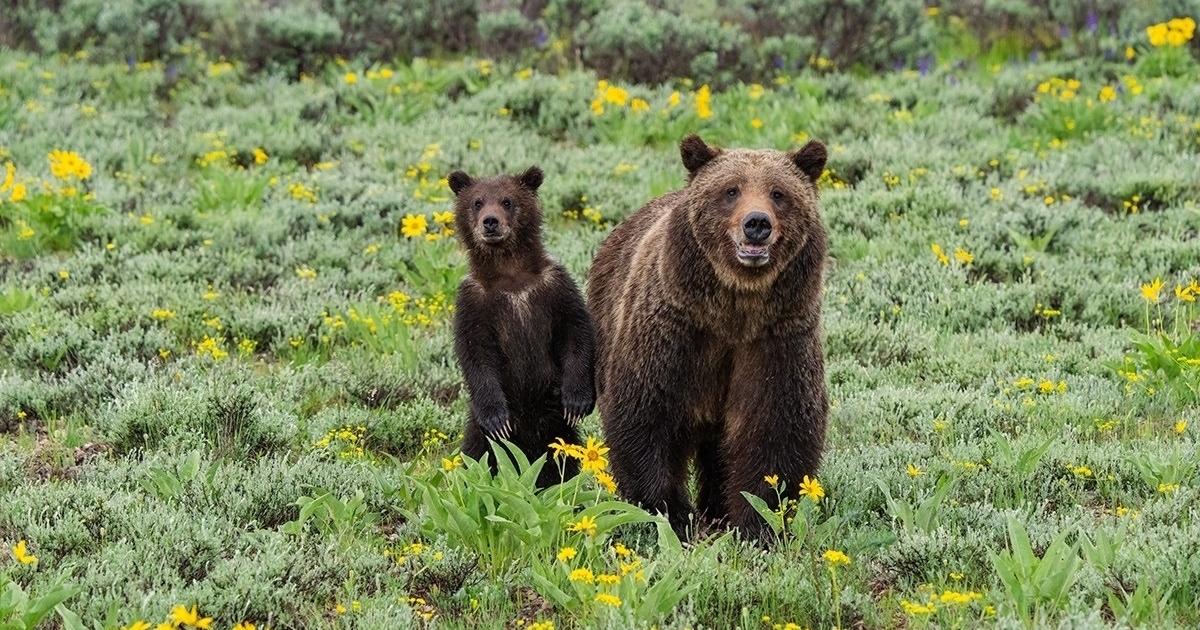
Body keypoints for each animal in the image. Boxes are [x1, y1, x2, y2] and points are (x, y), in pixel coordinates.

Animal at [448, 165, 596, 487]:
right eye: (477, 202)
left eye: (507, 201)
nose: (490, 222)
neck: (510, 274)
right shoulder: (474, 302)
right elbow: (475, 352)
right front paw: (496, 419)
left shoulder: (554, 287)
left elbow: (575, 330)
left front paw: (577, 401)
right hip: (486, 430)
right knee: (478, 451)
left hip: (555, 425)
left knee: (561, 460)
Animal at [587, 134, 830, 540]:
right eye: (730, 190)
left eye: (778, 193)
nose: (757, 223)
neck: (733, 312)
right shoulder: (676, 333)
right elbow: (646, 413)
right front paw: (669, 514)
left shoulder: (778, 339)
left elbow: (776, 427)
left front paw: (756, 523)